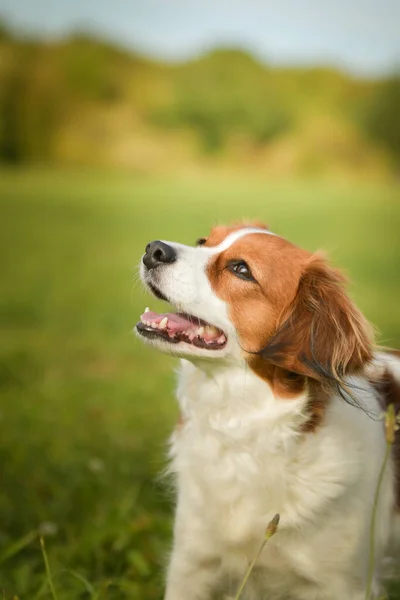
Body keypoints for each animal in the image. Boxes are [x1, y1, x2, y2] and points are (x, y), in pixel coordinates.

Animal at [135, 223, 400, 596]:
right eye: (204, 241)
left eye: (241, 269)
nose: (153, 249)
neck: (242, 432)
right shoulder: (191, 567)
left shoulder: (343, 585)